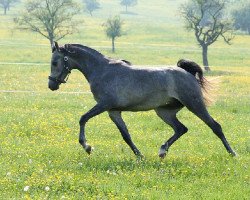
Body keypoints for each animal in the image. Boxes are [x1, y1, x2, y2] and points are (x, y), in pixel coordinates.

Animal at [47, 41, 236, 158]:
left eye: (55, 62)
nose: (51, 85)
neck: (101, 70)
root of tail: (187, 73)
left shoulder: (104, 105)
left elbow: (83, 118)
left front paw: (86, 146)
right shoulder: (113, 111)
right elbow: (126, 135)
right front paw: (140, 155)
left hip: (194, 105)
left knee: (215, 126)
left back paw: (232, 153)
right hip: (164, 112)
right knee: (181, 129)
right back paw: (162, 151)